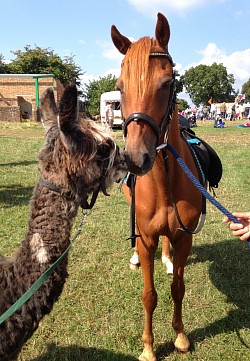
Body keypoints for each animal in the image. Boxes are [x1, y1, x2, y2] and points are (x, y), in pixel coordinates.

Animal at [111, 12, 203, 358]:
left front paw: (180, 336)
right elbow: (149, 296)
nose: (137, 158)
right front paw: (149, 348)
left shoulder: (184, 238)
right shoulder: (147, 238)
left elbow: (178, 288)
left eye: (167, 83)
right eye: (119, 88)